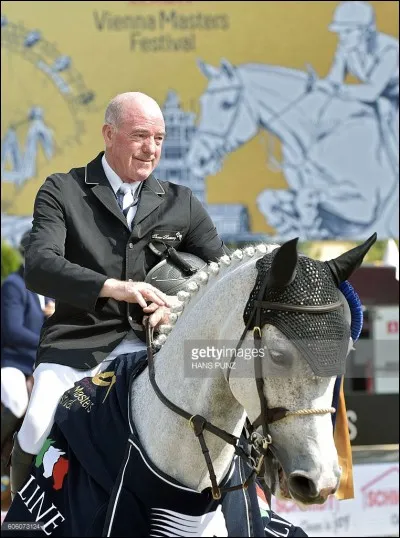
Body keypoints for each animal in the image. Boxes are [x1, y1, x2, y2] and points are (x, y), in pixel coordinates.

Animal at [186, 57, 398, 239]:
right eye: (202, 103)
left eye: (226, 104)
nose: (197, 160)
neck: (317, 135)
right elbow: (270, 198)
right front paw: (291, 225)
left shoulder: (366, 204)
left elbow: (306, 197)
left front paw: (310, 226)